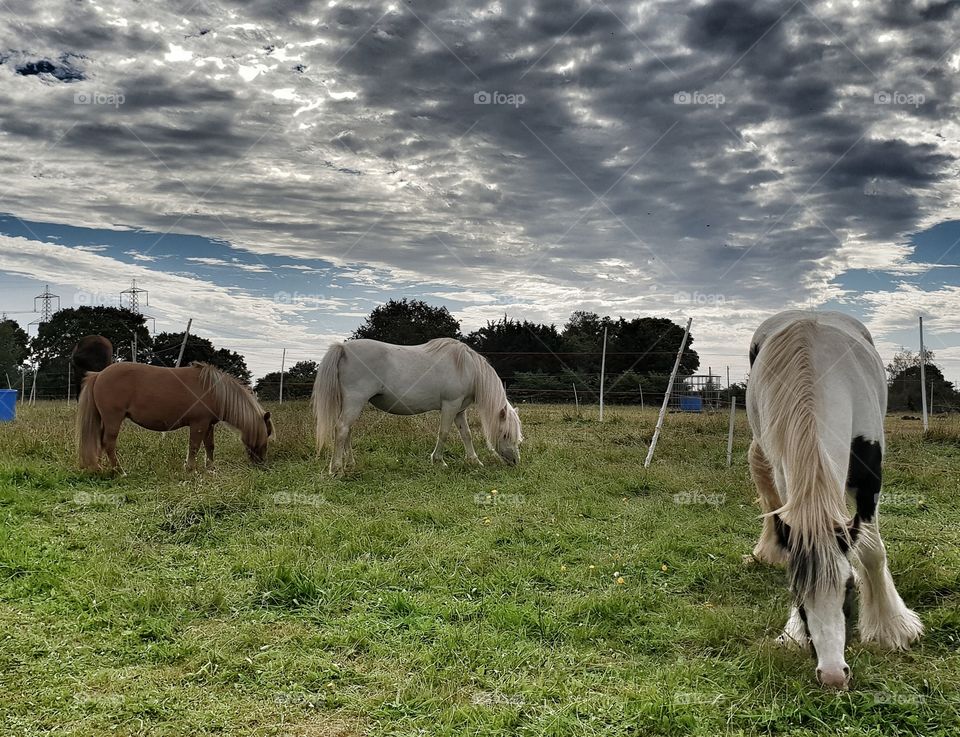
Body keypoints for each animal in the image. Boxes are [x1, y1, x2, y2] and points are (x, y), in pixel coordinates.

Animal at [76, 360, 272, 472]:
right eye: (267, 435)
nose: (260, 463)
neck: (214, 391)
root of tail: (99, 374)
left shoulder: (208, 425)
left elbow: (210, 447)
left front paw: (210, 469)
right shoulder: (198, 424)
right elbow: (194, 446)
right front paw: (190, 470)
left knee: (99, 442)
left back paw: (98, 467)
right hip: (113, 419)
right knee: (108, 443)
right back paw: (119, 471)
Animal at [314, 338, 524, 472]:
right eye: (506, 434)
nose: (515, 461)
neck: (467, 367)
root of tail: (343, 348)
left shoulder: (459, 410)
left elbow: (467, 434)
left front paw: (474, 461)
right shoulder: (450, 405)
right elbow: (444, 433)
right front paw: (438, 461)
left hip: (352, 403)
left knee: (347, 431)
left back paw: (350, 463)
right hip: (354, 401)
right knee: (342, 429)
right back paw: (336, 468)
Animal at [748, 308, 920, 688]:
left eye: (849, 587)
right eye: (796, 594)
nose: (832, 675)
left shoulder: (870, 478)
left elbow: (871, 551)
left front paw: (890, 627)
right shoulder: (787, 476)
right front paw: (795, 634)